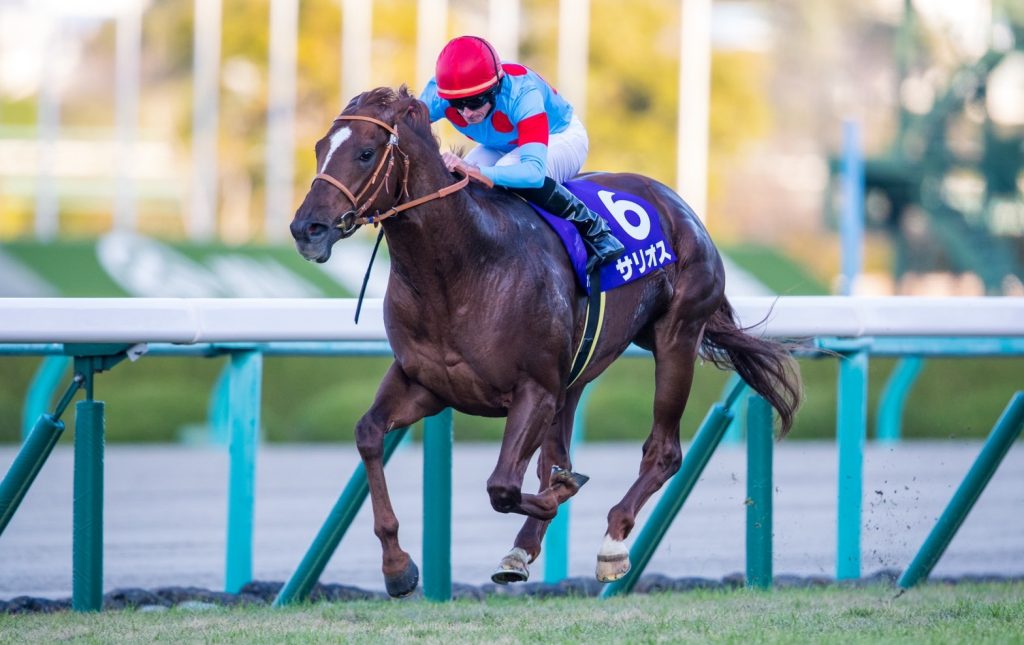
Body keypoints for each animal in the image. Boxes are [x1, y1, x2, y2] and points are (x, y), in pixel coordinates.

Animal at [290, 86, 801, 597]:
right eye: (318, 148)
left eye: (365, 152)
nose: (306, 229)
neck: (462, 267)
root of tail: (679, 205)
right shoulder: (426, 384)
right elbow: (369, 434)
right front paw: (398, 567)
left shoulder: (534, 389)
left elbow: (503, 486)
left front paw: (564, 492)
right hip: (578, 370)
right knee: (556, 454)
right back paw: (522, 548)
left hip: (676, 337)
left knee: (664, 451)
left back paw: (612, 543)